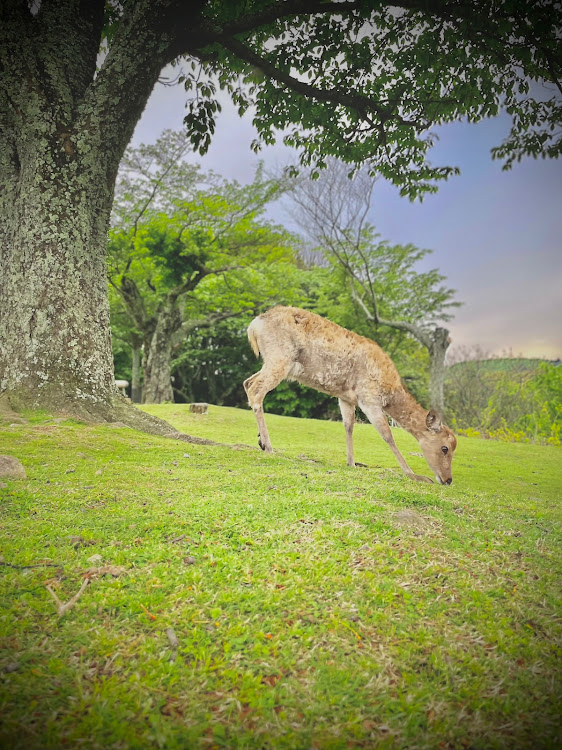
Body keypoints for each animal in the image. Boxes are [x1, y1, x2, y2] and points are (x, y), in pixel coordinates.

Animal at [242, 306, 456, 488]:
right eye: (445, 448)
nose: (448, 480)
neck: (391, 390)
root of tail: (254, 325)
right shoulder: (369, 397)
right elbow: (387, 435)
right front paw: (414, 475)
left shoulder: (345, 397)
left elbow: (349, 426)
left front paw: (351, 463)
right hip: (280, 358)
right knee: (256, 389)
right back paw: (268, 446)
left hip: (271, 360)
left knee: (247, 382)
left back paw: (260, 440)